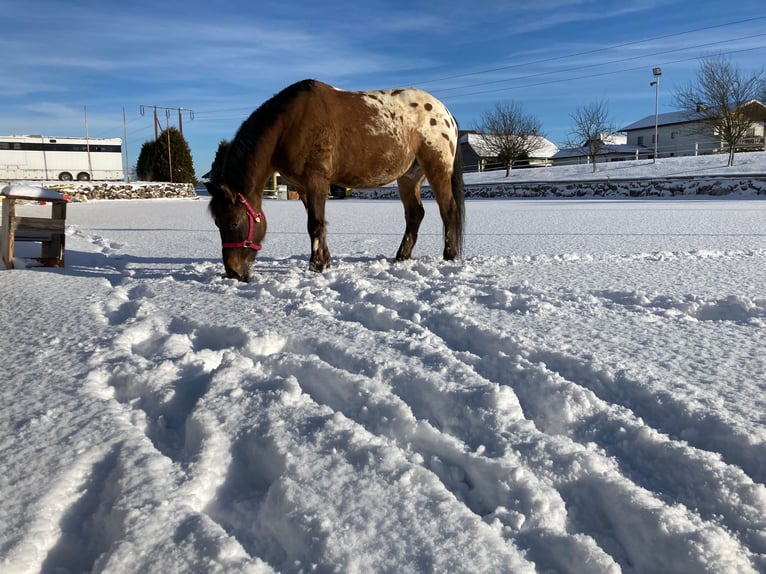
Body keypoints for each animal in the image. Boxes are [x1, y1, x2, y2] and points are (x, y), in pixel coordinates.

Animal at [206, 79, 464, 282]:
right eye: (217, 223)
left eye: (232, 223)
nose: (233, 272)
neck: (289, 124)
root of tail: (446, 113)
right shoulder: (302, 187)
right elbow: (318, 223)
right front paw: (326, 261)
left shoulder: (316, 179)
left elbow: (314, 223)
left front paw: (316, 266)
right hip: (408, 177)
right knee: (415, 214)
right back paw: (401, 257)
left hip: (437, 168)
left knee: (448, 210)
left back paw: (449, 256)